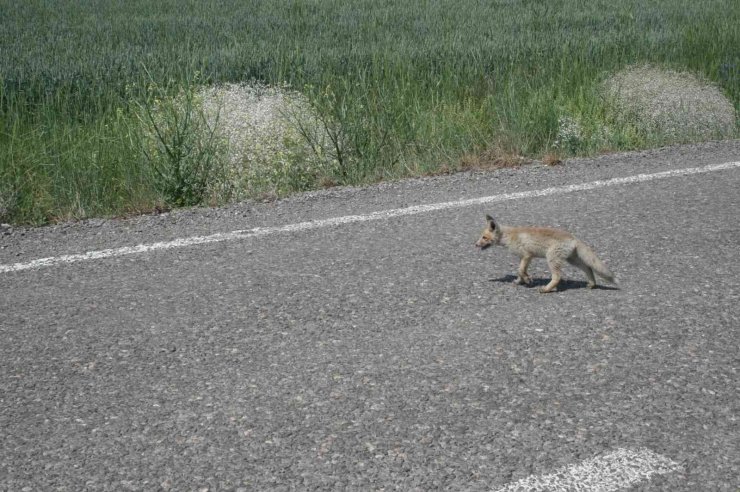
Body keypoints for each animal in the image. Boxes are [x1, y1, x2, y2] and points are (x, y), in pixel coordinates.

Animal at [476, 214, 616, 292]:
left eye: (484, 237)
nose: (475, 245)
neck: (510, 236)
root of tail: (574, 237)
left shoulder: (527, 255)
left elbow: (520, 270)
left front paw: (527, 280)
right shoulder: (524, 258)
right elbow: (520, 271)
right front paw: (521, 280)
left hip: (552, 259)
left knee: (557, 277)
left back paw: (546, 289)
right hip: (571, 260)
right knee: (588, 268)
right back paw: (592, 284)